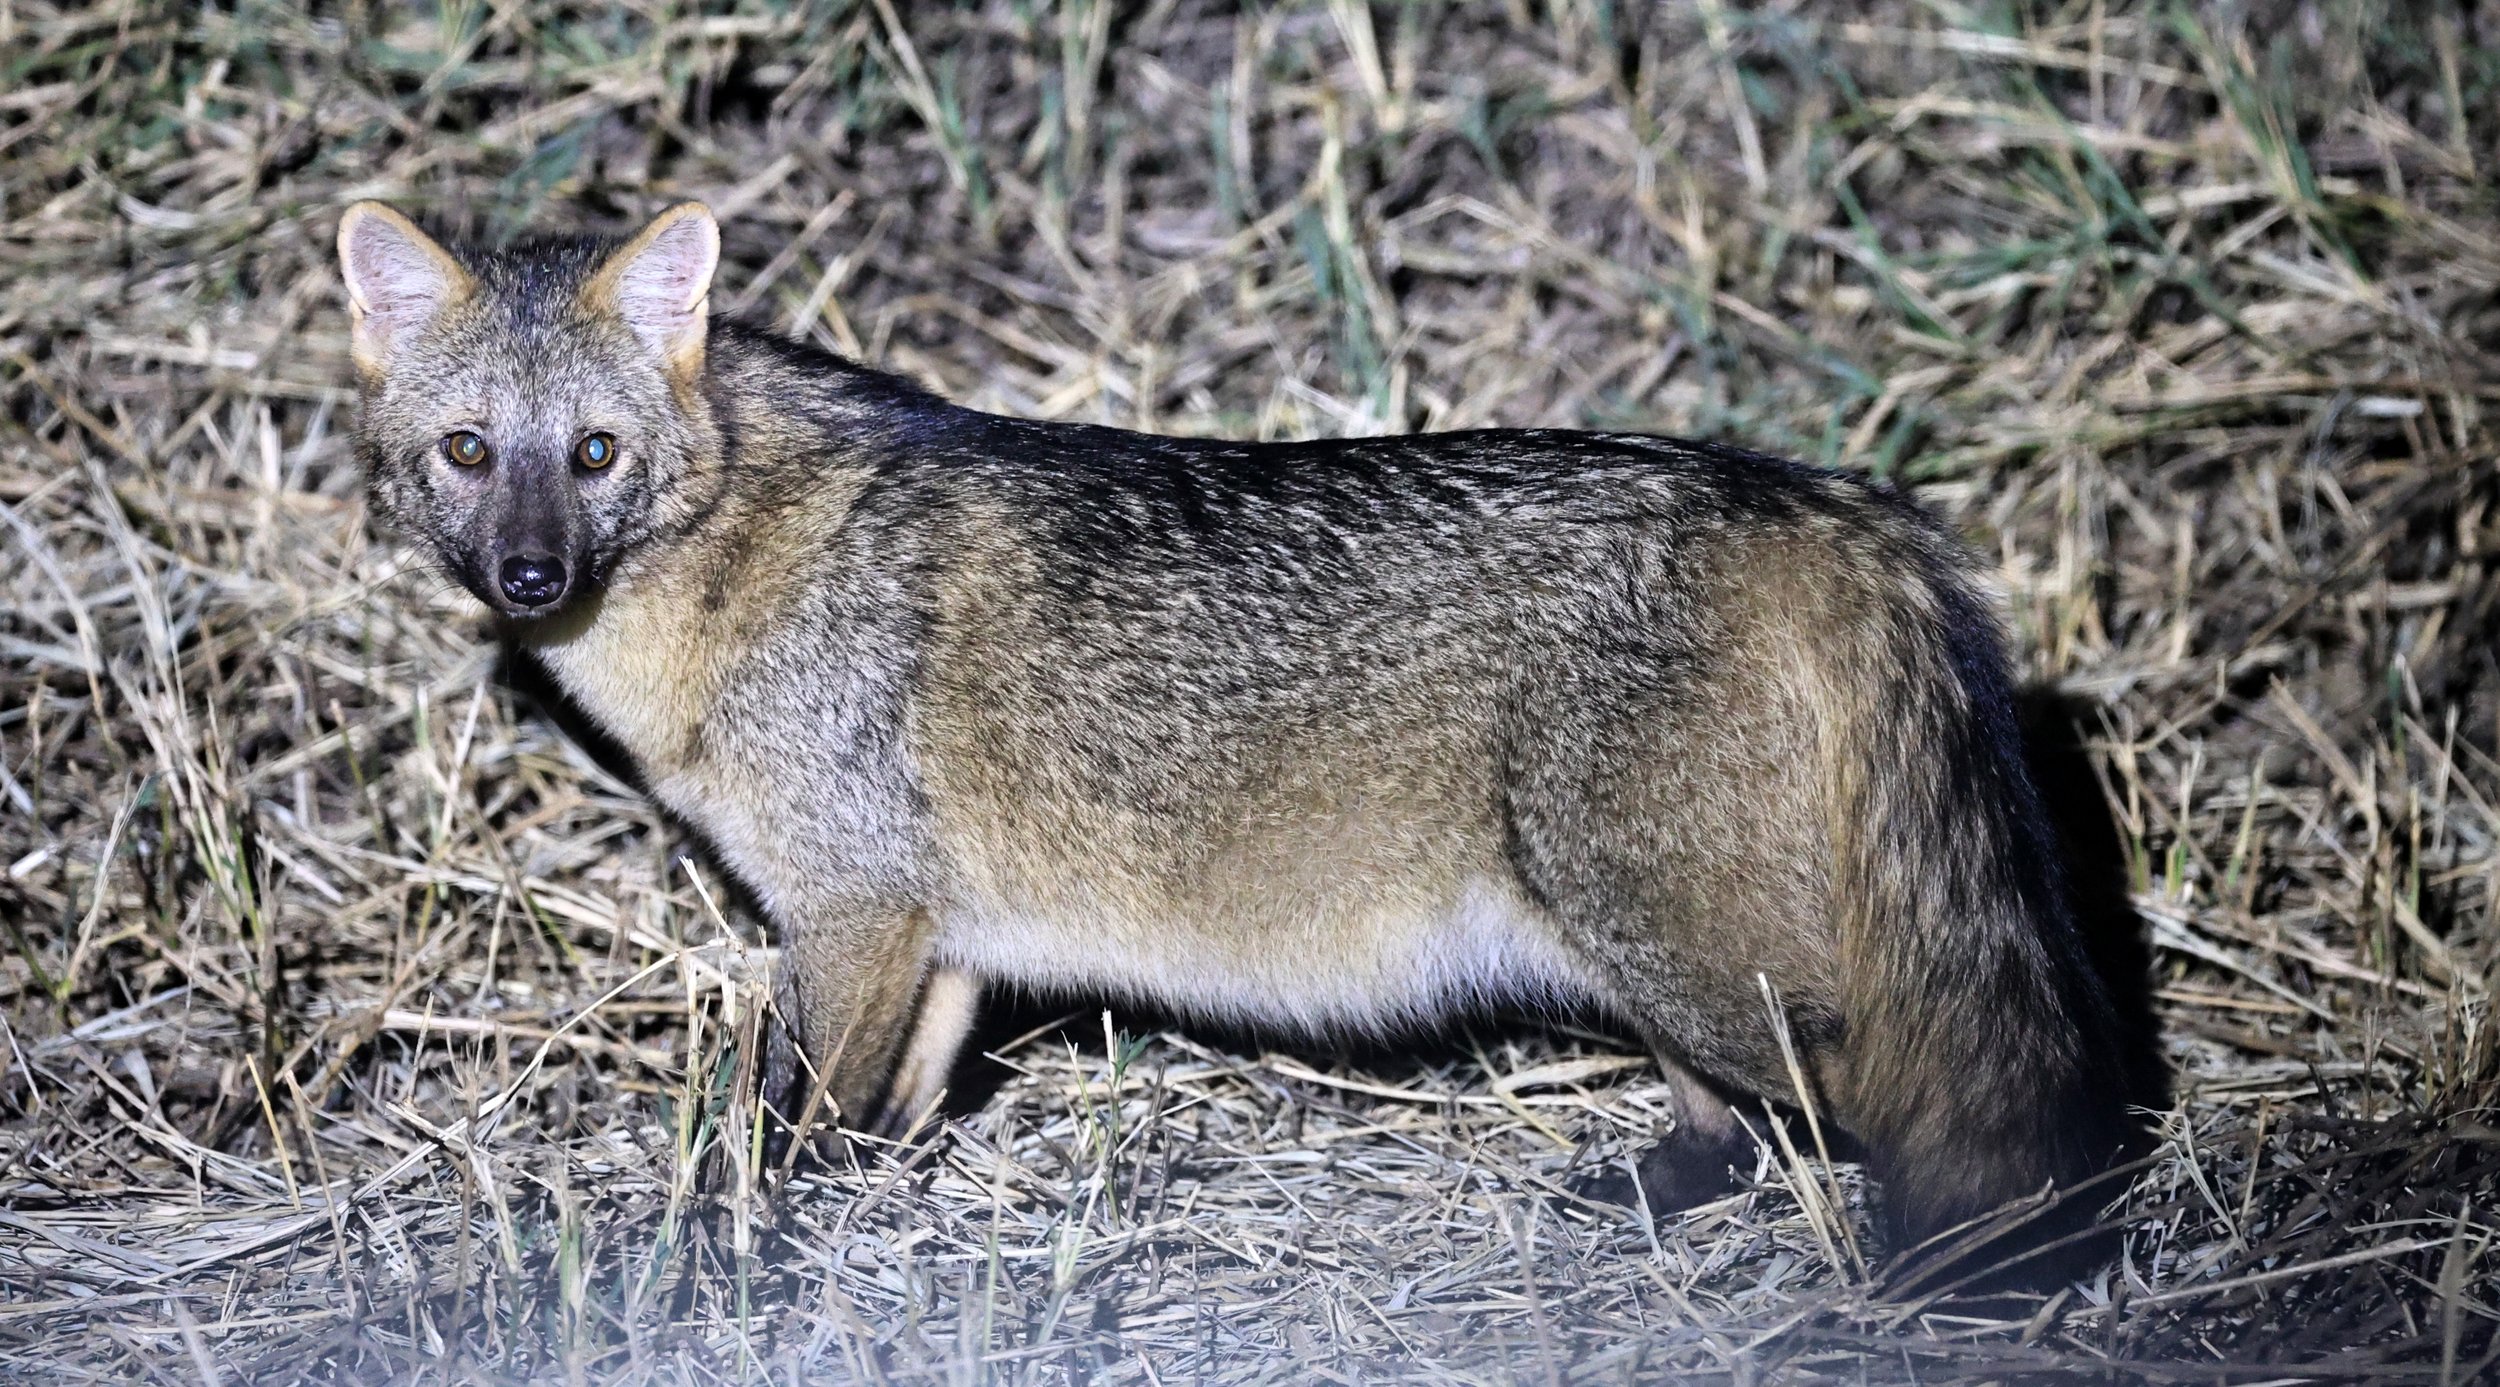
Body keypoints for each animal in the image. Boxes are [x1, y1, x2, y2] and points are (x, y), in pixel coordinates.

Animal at [337, 199, 2141, 1283]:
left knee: (1897, 1108)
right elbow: (893, 1108)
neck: (736, 572)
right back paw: (1653, 1188)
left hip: (1706, 958)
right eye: (468, 452)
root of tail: (1821, 497)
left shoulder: (849, 916)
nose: (527, 577)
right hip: (1653, 954)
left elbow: (778, 1126)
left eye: (592, 454)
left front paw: (728, 1245)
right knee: (1735, 1114)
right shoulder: (937, 941)